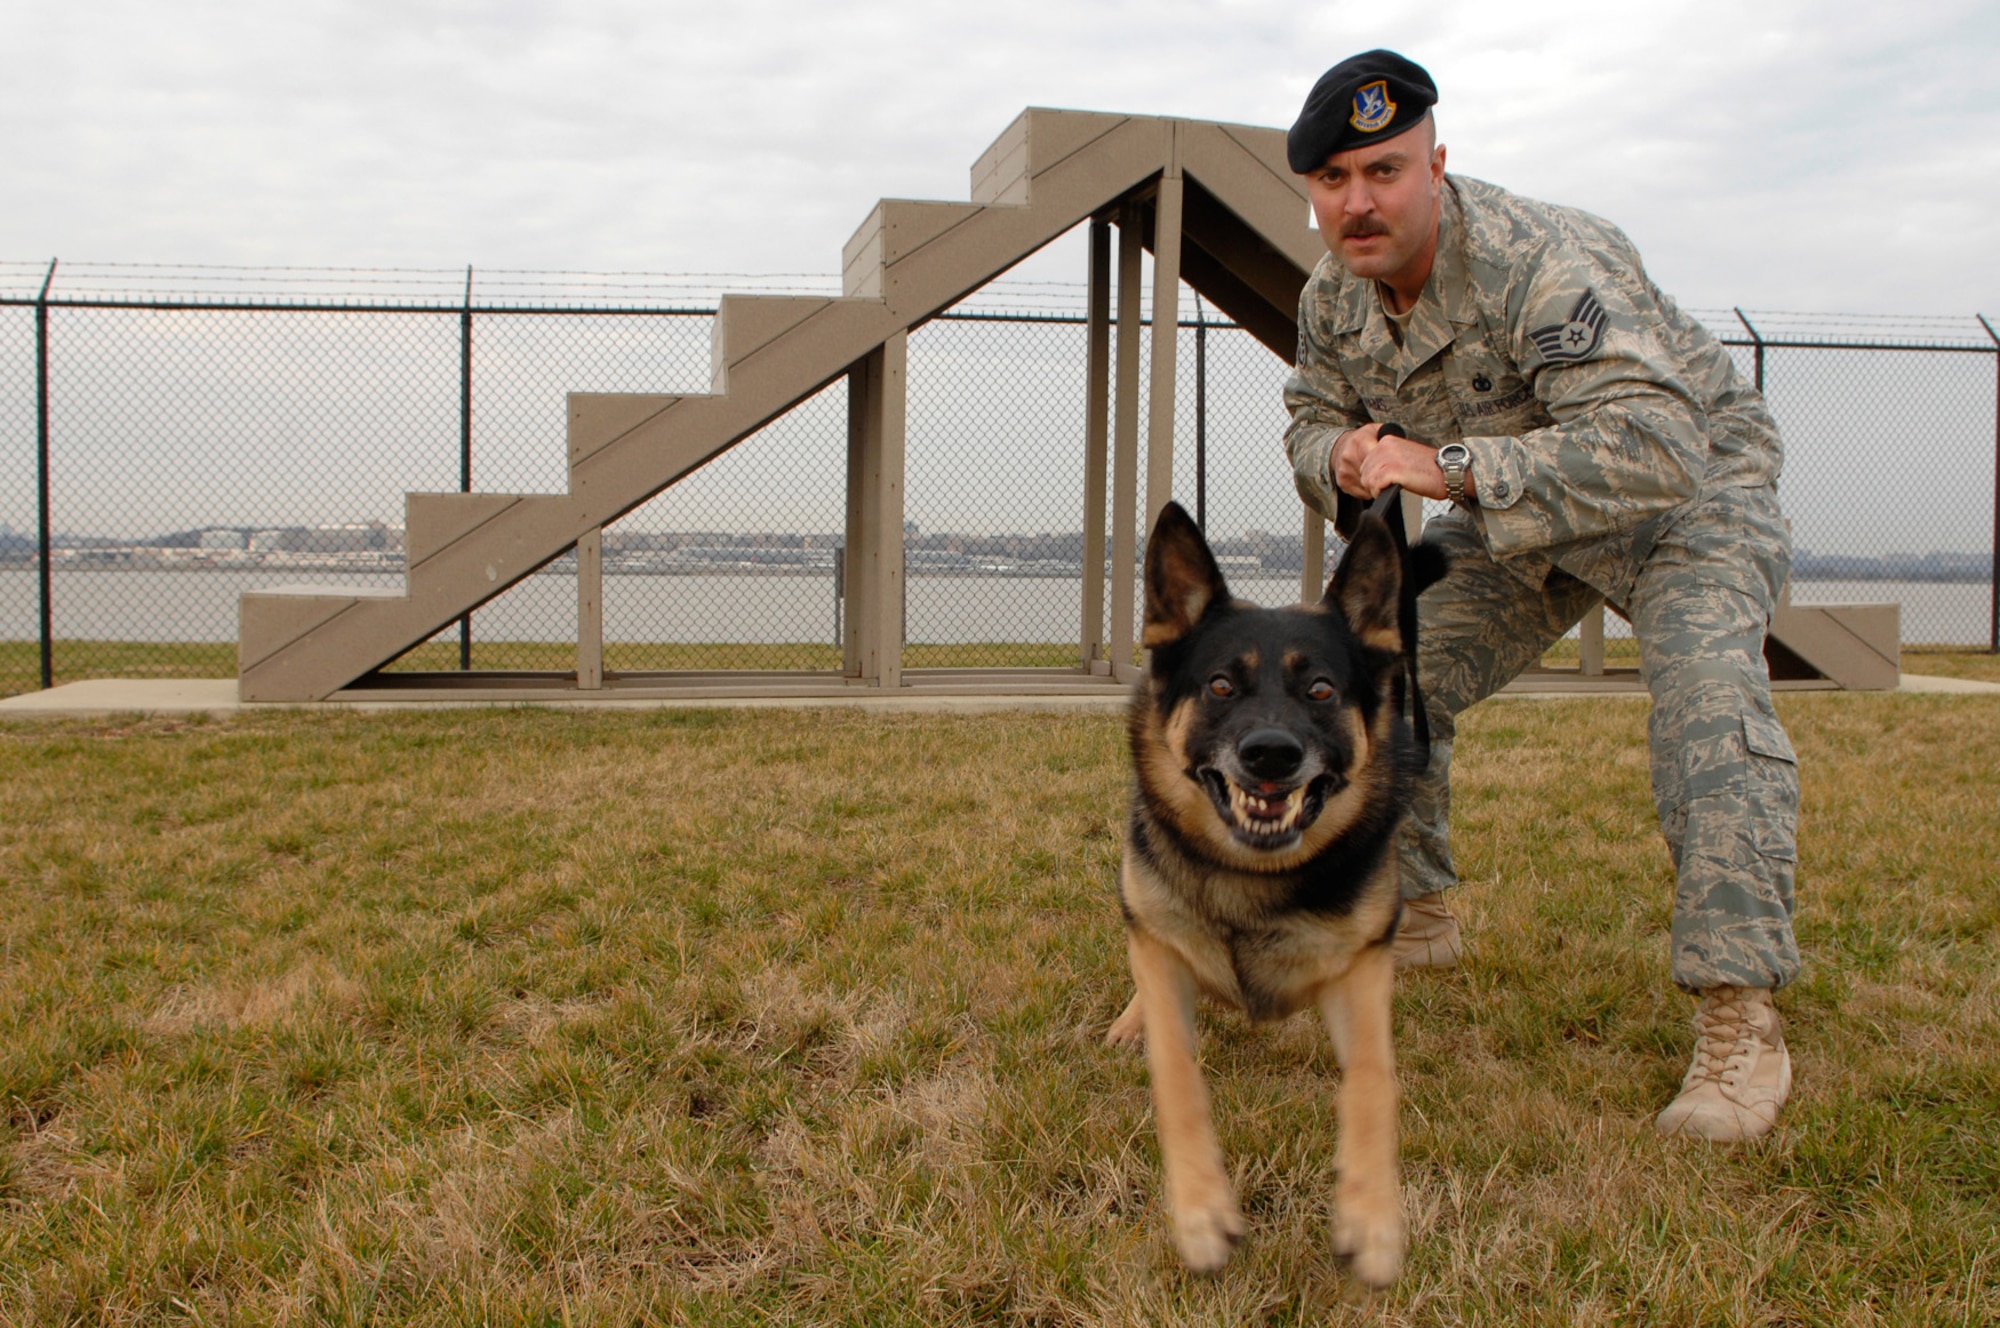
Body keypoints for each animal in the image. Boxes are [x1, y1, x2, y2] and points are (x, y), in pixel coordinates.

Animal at [1112, 500, 1424, 1288]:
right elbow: (1176, 1073)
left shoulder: (1363, 968)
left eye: (1320, 691)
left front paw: (1371, 1219)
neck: (1252, 879)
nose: (1272, 756)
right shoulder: (1159, 948)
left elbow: (1373, 1080)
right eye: (1222, 685)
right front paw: (1201, 1212)